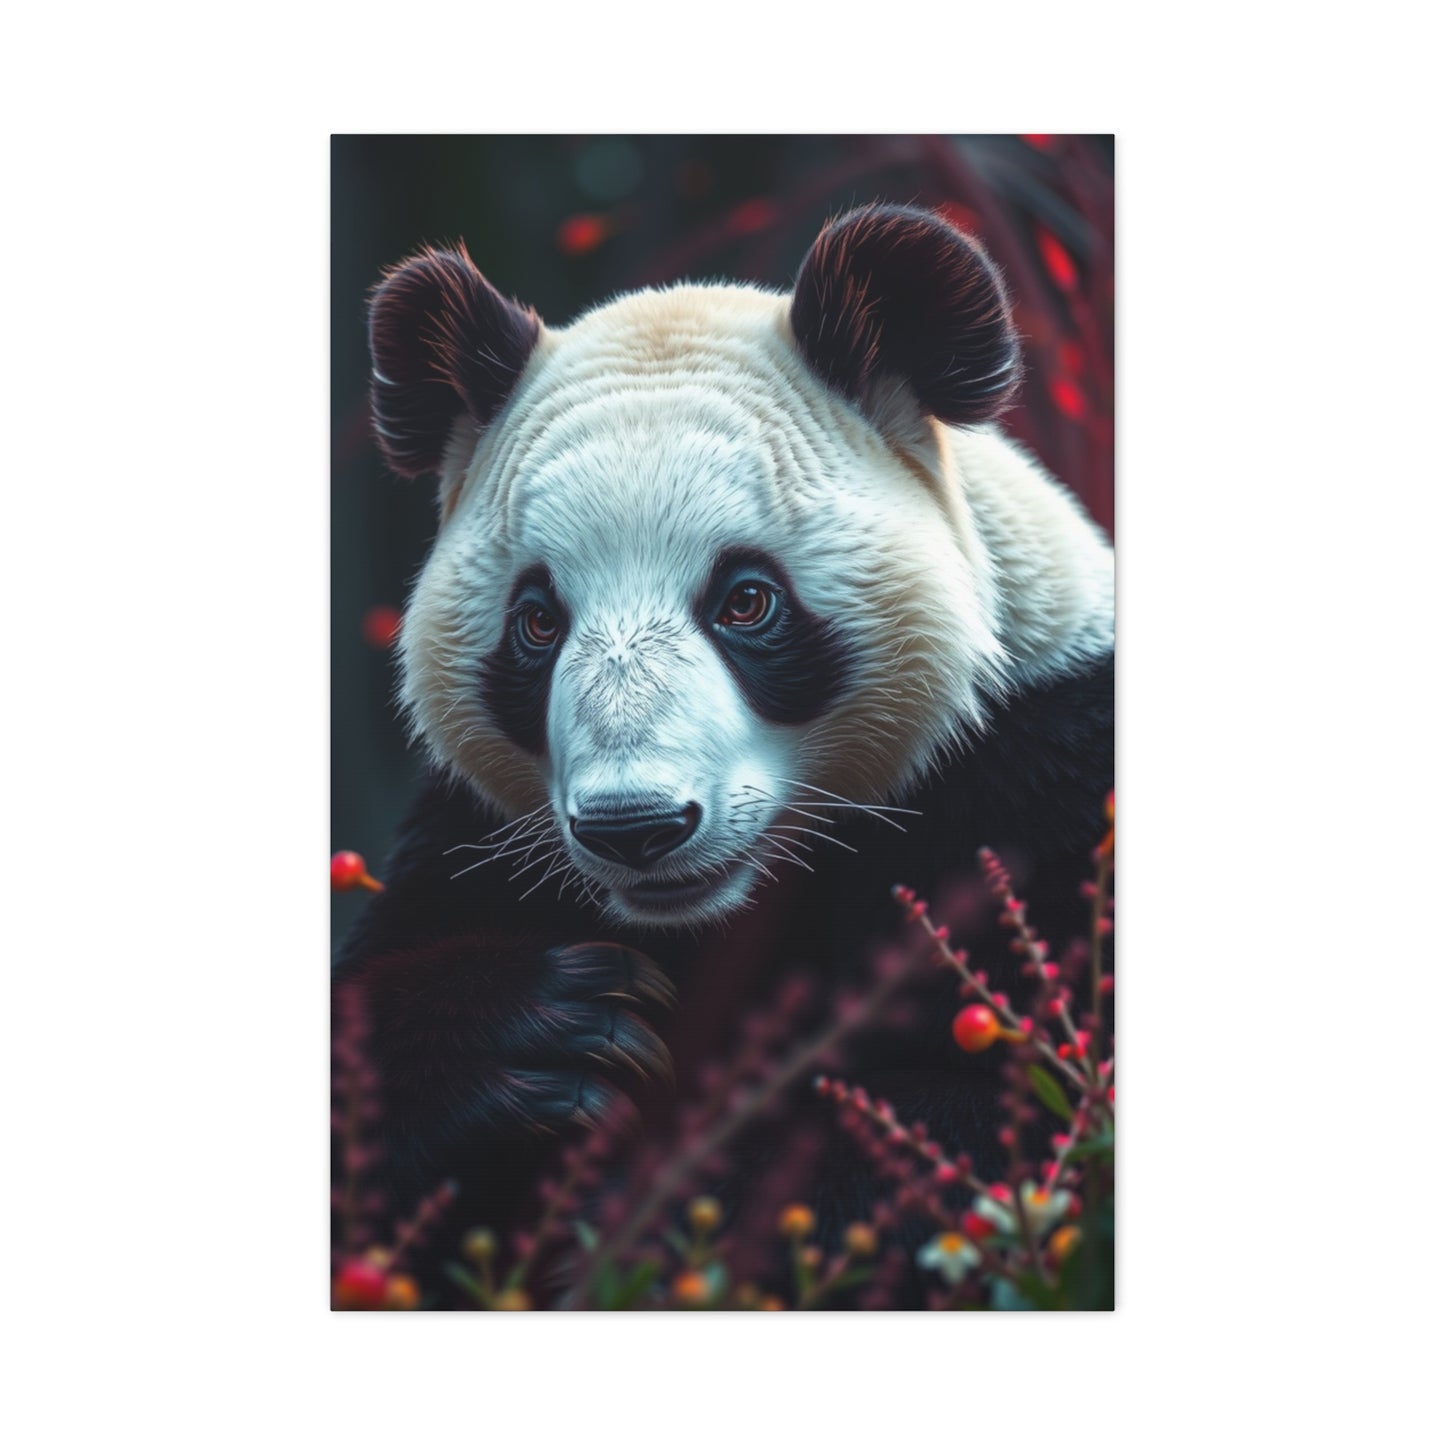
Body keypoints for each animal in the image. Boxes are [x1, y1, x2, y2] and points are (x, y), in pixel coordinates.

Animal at [335, 203, 1114, 1300]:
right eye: (537, 620)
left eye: (746, 600)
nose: (635, 825)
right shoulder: (470, 843)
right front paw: (559, 1033)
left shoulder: (1041, 774)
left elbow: (992, 1108)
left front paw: (668, 1220)